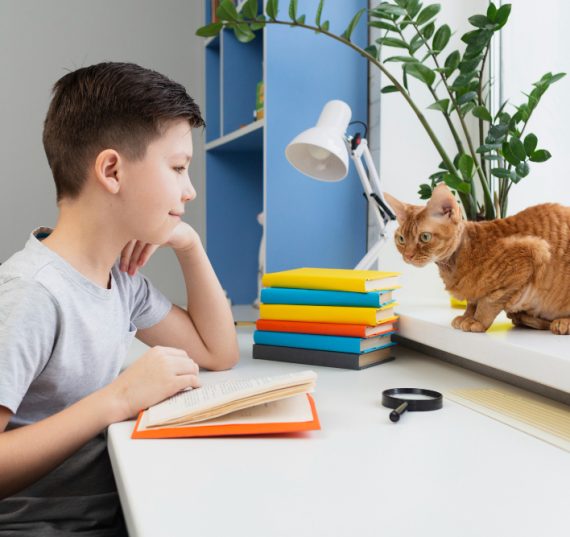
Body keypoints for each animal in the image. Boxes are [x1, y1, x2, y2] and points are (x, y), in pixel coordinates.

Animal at [382, 185, 568, 336]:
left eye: (425, 237)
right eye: (401, 239)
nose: (407, 255)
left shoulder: (533, 251)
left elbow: (489, 301)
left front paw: (477, 320)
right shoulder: (473, 291)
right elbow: (472, 301)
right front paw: (467, 316)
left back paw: (562, 323)